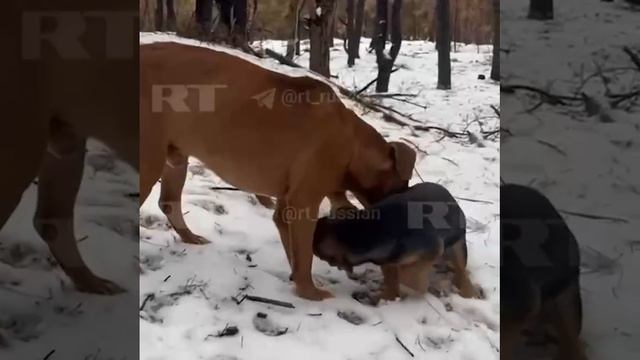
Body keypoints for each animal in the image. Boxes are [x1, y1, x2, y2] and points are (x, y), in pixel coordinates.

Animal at [141, 42, 418, 300]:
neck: (353, 144)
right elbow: (304, 255)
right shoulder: (304, 202)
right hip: (150, 162)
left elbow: (295, 253)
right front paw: (311, 293)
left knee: (169, 202)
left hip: (175, 159)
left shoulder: (286, 206)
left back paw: (190, 237)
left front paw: (299, 281)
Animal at [312, 181, 478, 302]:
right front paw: (387, 297)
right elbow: (392, 277)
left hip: (457, 246)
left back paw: (467, 291)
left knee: (461, 268)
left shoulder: (433, 248)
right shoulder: (386, 259)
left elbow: (410, 278)